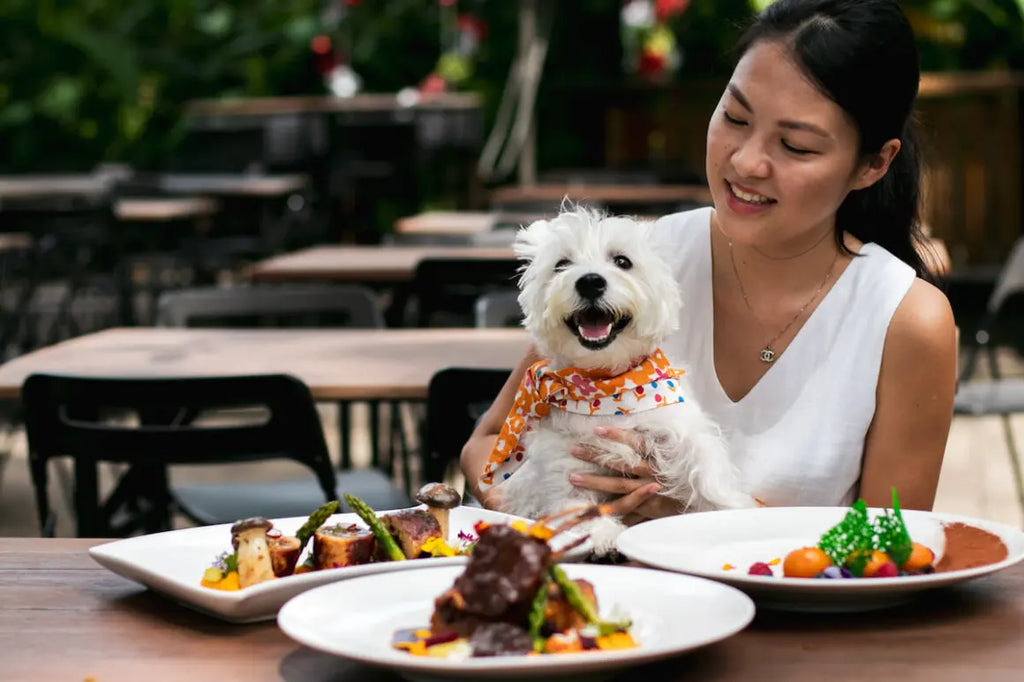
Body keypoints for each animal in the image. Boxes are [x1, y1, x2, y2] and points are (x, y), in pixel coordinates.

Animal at [483, 205, 757, 552]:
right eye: (561, 264)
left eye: (623, 261)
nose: (589, 282)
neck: (602, 388)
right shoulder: (565, 464)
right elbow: (575, 501)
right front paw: (601, 534)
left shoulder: (679, 428)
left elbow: (707, 471)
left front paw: (729, 512)